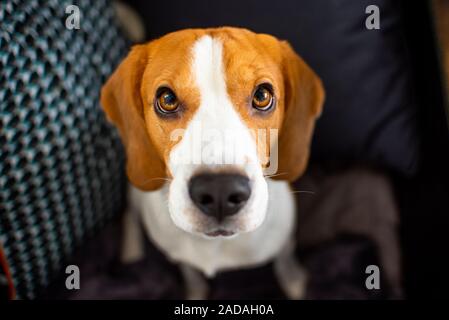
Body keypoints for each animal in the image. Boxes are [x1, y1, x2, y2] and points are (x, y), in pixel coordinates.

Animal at [100, 27, 324, 300]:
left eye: (262, 95)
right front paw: (195, 292)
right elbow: (192, 276)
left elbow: (286, 262)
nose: (220, 191)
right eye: (167, 99)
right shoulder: (181, 255)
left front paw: (295, 281)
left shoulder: (282, 240)